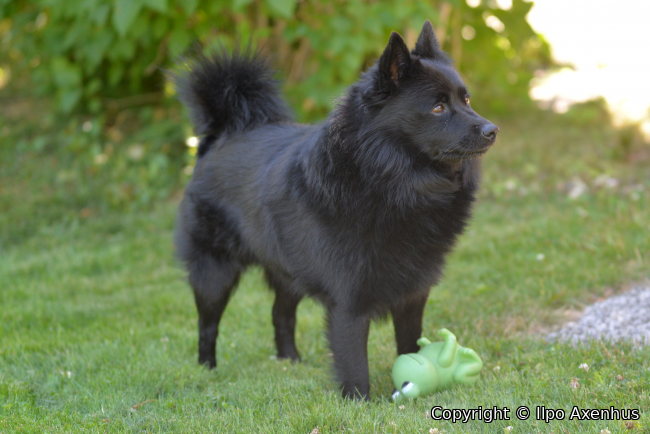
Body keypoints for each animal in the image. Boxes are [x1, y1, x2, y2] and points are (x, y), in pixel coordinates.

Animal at [174, 20, 498, 400]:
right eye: (437, 108)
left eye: (466, 99)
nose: (492, 130)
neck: (392, 182)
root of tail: (222, 135)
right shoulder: (349, 299)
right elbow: (353, 360)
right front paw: (359, 403)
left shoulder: (414, 289)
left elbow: (409, 341)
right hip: (215, 272)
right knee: (208, 324)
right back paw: (207, 369)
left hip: (289, 270)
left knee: (280, 314)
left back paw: (290, 362)